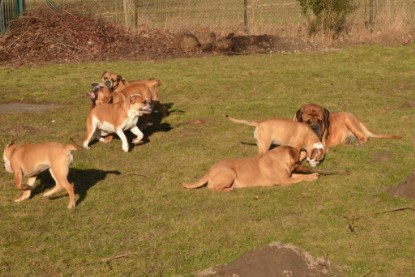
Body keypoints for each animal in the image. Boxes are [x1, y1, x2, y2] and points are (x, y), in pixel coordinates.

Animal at [181, 144, 318, 190]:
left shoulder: (288, 176)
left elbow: (298, 176)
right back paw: (227, 189)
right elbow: (300, 178)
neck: (279, 159)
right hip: (229, 172)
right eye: (299, 152)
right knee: (211, 188)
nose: (304, 149)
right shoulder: (284, 181)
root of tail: (209, 170)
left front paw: (312, 174)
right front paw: (311, 177)